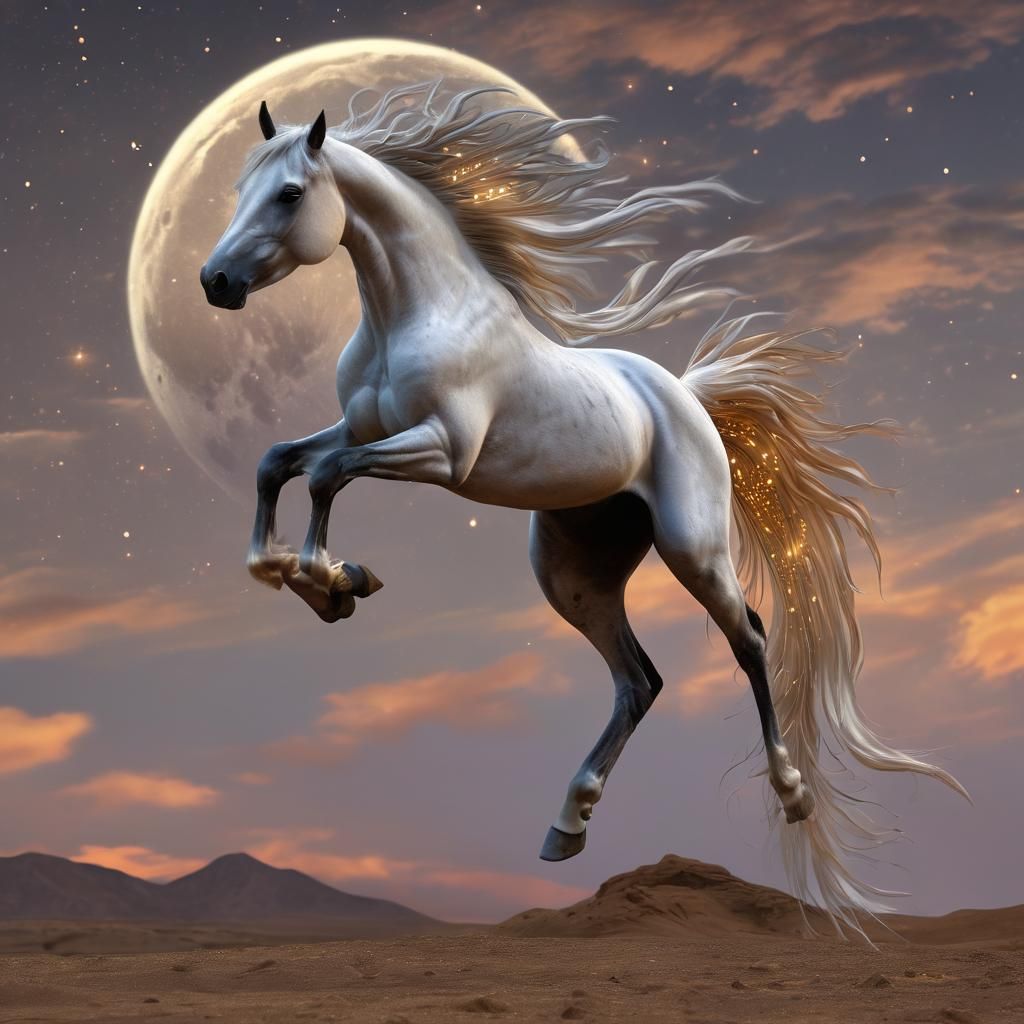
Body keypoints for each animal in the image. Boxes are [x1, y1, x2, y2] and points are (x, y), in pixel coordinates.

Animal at [199, 83, 967, 935]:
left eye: (289, 194)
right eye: (239, 188)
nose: (214, 282)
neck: (416, 315)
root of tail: (688, 397)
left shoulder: (441, 451)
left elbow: (327, 477)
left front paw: (332, 582)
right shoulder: (363, 429)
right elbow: (279, 463)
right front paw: (307, 575)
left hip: (693, 549)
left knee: (750, 640)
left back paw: (792, 793)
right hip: (574, 577)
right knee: (639, 681)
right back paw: (567, 825)